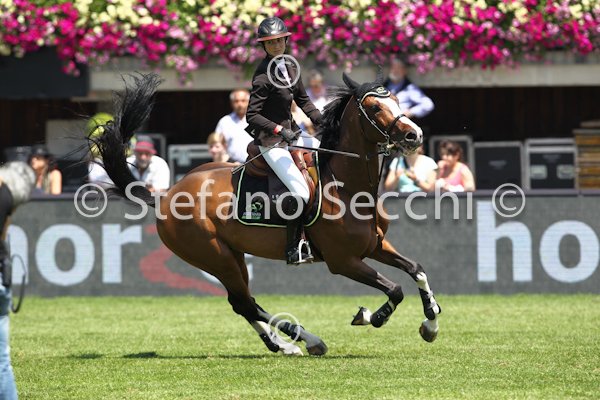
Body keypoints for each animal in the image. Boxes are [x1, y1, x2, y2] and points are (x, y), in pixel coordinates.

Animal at [95, 71, 442, 356]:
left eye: (397, 100)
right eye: (375, 108)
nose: (414, 136)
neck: (347, 187)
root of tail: (167, 195)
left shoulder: (375, 246)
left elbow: (417, 270)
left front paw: (431, 323)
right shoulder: (343, 261)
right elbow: (395, 289)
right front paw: (371, 316)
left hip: (231, 256)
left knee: (243, 303)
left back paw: (283, 345)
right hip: (215, 256)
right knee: (244, 302)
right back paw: (306, 341)